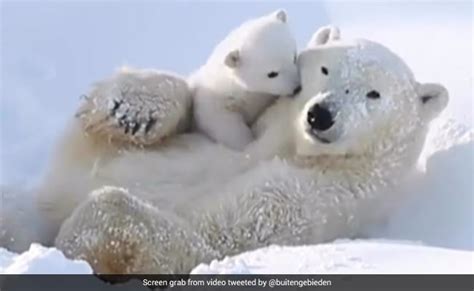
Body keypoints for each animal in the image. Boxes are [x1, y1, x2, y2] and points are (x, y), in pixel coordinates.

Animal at [53, 30, 446, 274]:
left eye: (374, 94)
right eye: (325, 68)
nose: (321, 115)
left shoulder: (315, 199)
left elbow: (207, 241)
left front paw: (71, 244)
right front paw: (129, 110)